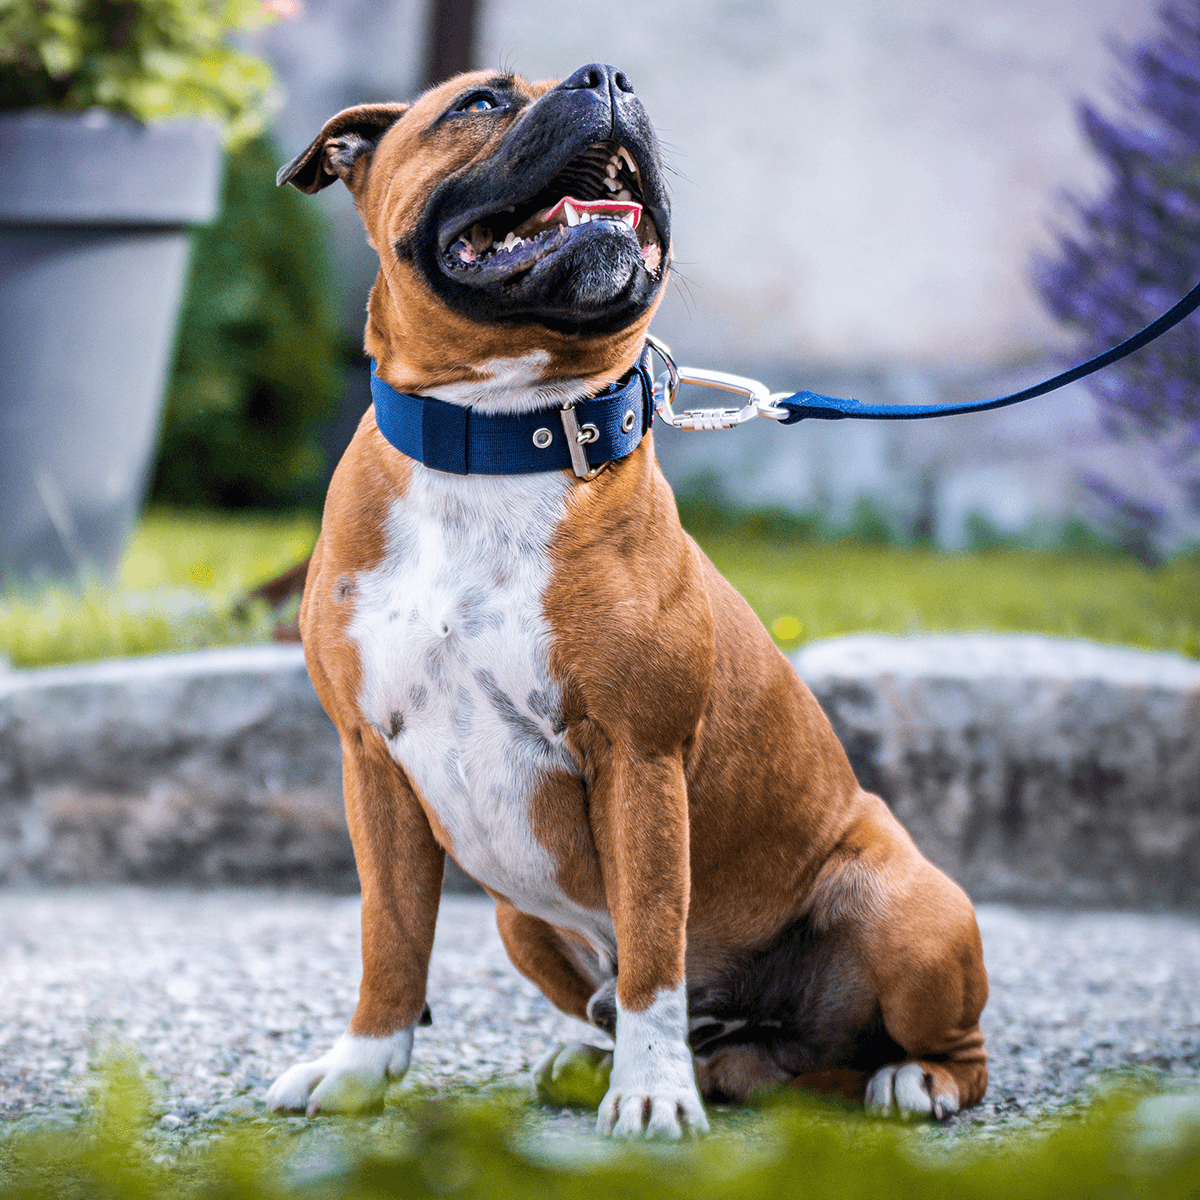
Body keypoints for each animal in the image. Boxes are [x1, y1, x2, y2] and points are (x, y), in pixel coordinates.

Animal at [262, 63, 984, 1132]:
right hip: (518, 918)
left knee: (949, 1049)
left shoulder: (639, 760)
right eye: (481, 103)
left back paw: (910, 1079)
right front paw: (359, 1068)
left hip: (906, 908)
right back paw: (604, 1058)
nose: (608, 76)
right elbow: (390, 940)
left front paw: (650, 1097)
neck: (497, 435)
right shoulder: (374, 765)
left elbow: (652, 948)